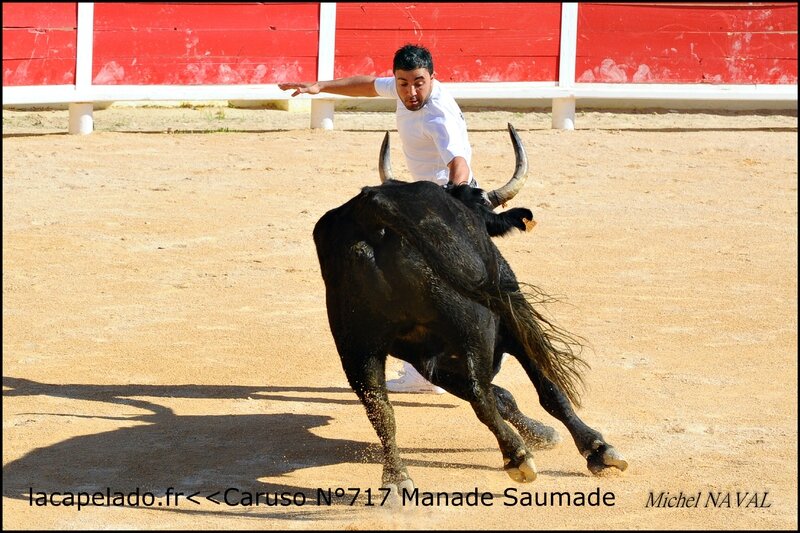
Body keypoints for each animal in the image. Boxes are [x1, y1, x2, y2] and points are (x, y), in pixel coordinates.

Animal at [310, 124, 628, 494]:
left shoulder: (430, 361)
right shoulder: (511, 318)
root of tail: (372, 211)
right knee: (480, 393)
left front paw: (543, 434)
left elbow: (502, 395)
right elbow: (545, 387)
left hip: (356, 344)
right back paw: (517, 457)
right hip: (472, 323)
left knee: (379, 405)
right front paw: (597, 449)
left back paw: (397, 478)